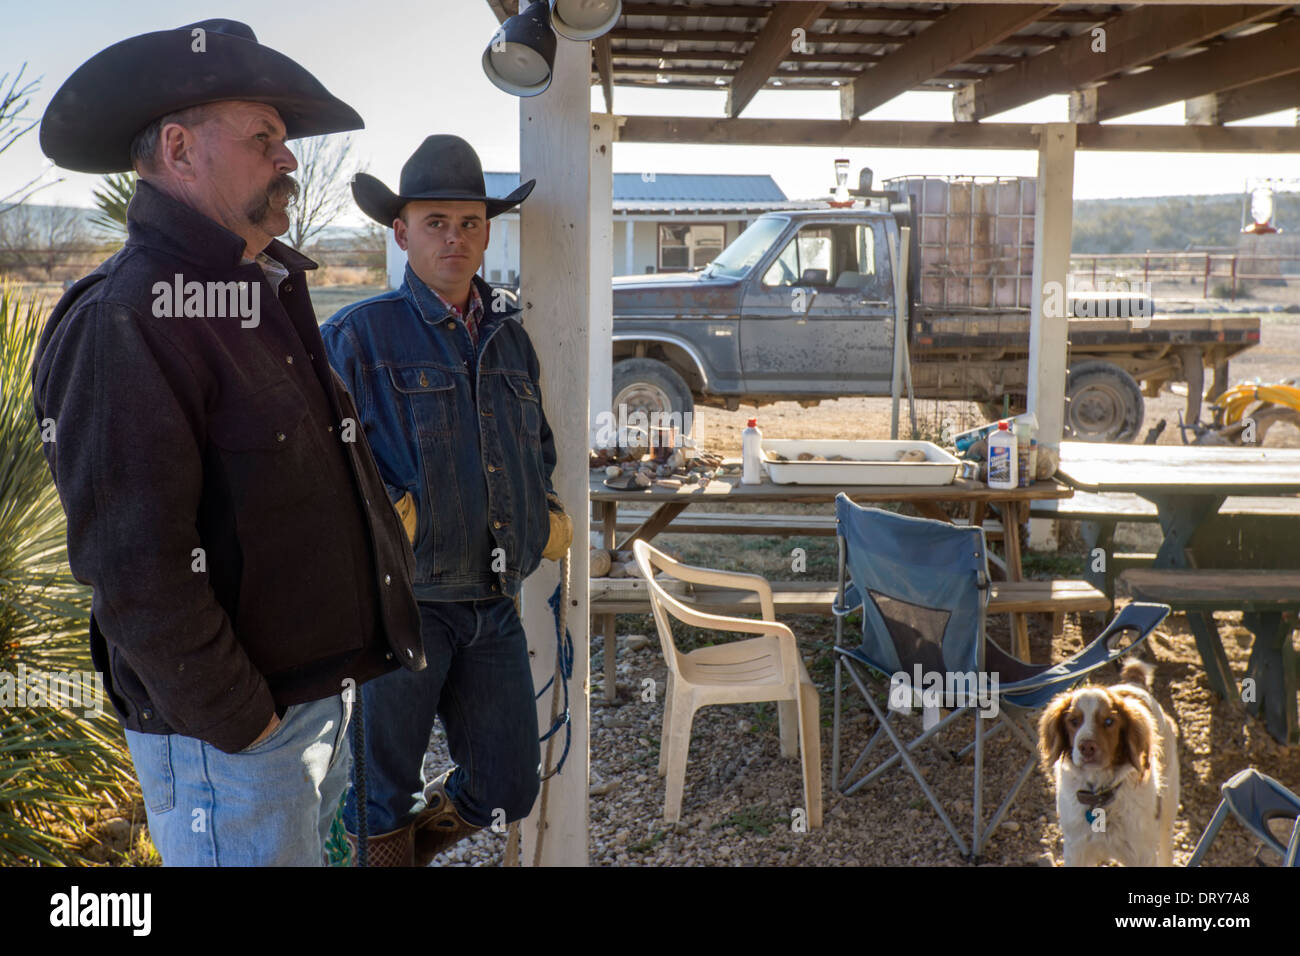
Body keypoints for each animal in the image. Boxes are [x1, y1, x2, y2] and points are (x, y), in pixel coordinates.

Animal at [1034, 660, 1180, 868]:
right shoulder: (1076, 851)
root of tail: (1134, 684)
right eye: (1073, 721)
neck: (1099, 797)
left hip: (1167, 810)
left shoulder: (1142, 854)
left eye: (1109, 721)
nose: (1086, 747)